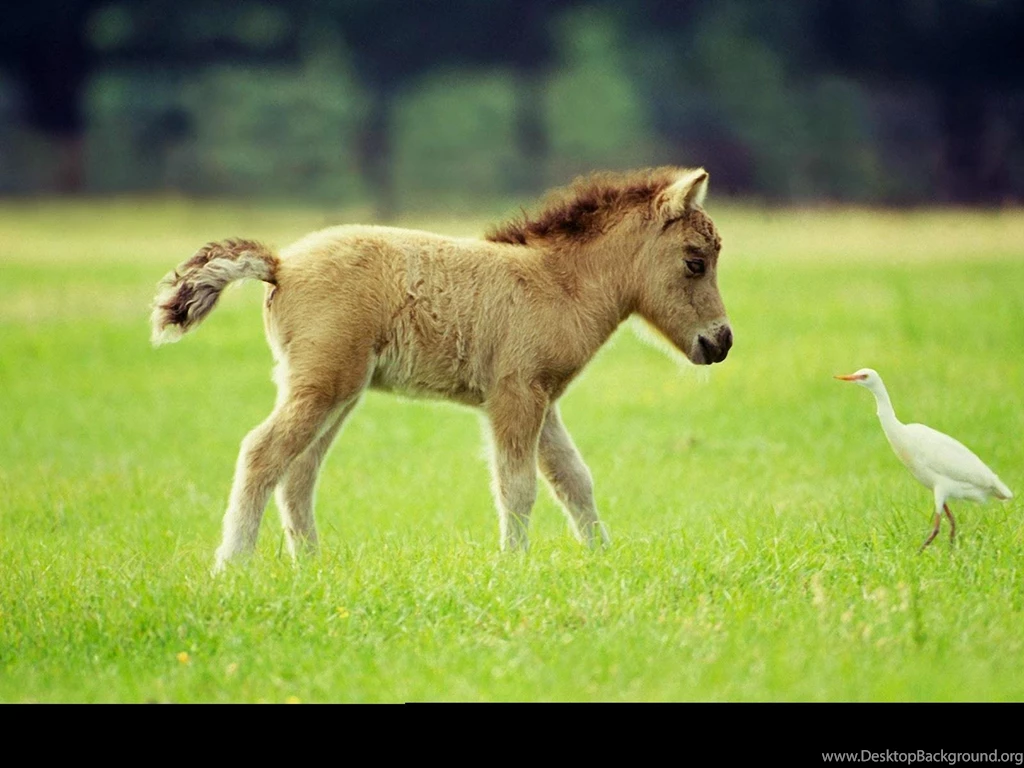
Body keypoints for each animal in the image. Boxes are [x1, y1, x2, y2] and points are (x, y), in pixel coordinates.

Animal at [150, 167, 732, 571]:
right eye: (695, 261)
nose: (721, 342)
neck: (558, 284)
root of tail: (281, 265)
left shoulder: (543, 400)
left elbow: (574, 480)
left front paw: (601, 559)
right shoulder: (516, 395)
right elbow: (517, 486)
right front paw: (514, 567)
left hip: (337, 392)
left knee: (299, 472)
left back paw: (310, 566)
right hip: (323, 386)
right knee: (263, 452)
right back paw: (233, 564)